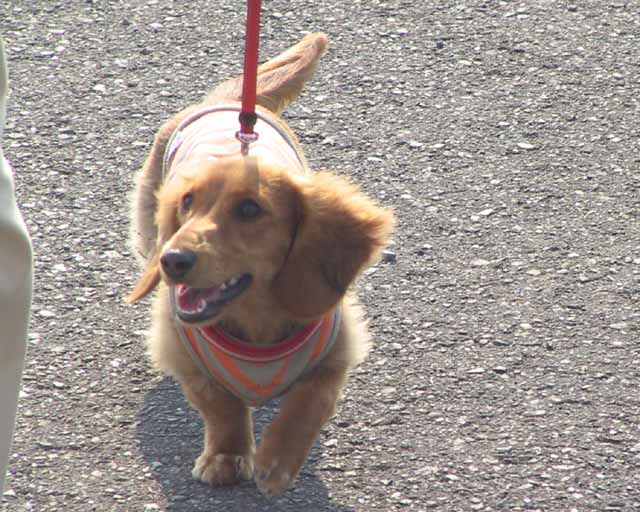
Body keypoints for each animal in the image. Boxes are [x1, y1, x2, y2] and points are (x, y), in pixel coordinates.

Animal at [127, 33, 394, 496]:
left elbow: (310, 402)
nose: (171, 261)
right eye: (187, 202)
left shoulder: (339, 349)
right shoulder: (180, 349)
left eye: (250, 209)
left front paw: (278, 459)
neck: (257, 320)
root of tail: (227, 103)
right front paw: (227, 455)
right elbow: (221, 406)